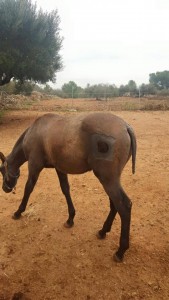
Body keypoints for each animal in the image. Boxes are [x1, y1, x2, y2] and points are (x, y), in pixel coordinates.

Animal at [0, 111, 136, 262]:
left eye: (1, 170)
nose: (5, 188)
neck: (35, 131)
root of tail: (125, 127)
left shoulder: (35, 165)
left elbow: (28, 188)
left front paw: (18, 212)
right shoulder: (59, 168)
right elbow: (65, 189)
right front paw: (70, 219)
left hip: (108, 180)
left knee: (124, 206)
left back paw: (120, 251)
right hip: (110, 180)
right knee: (114, 204)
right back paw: (103, 231)